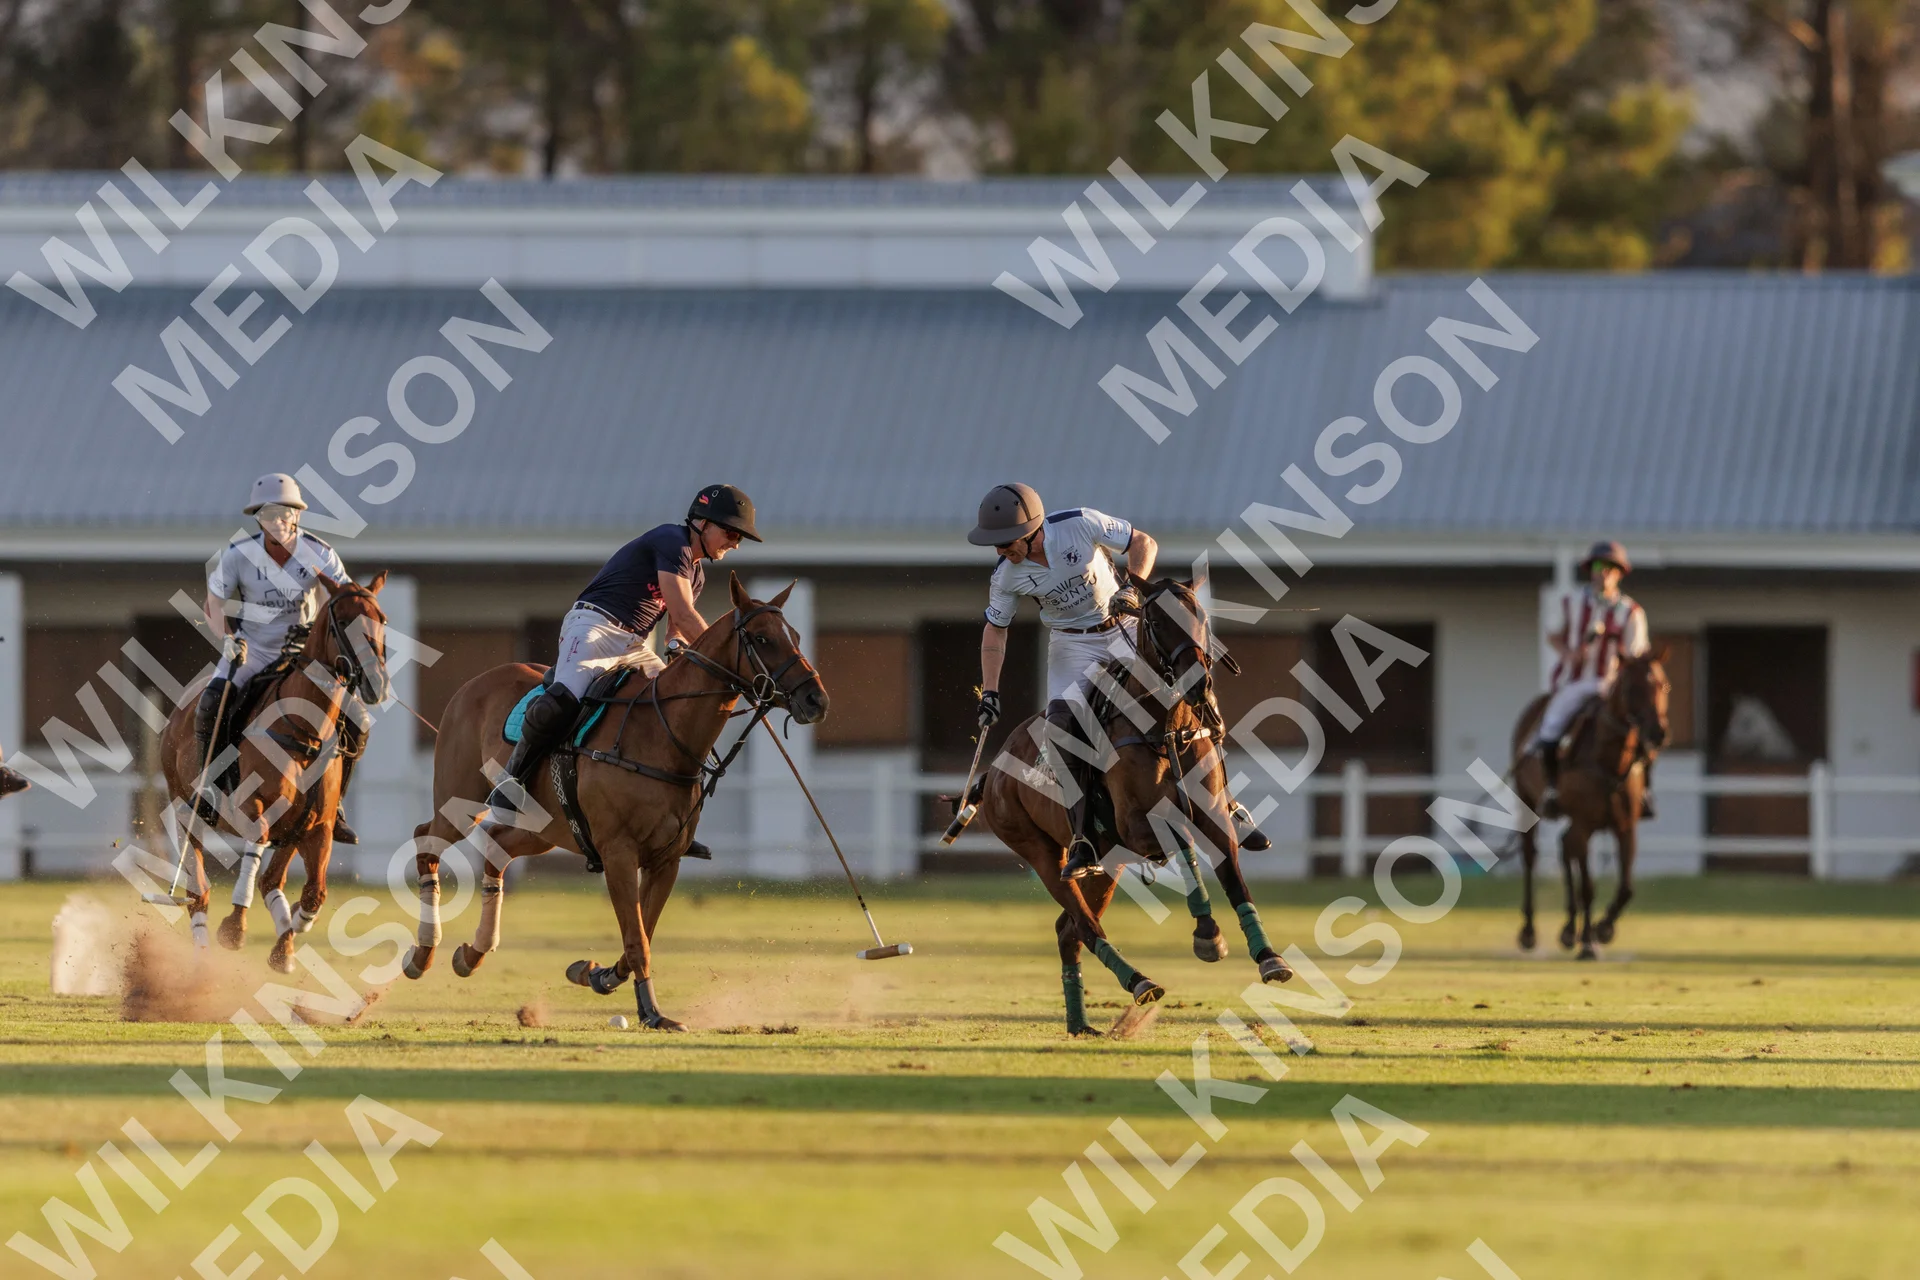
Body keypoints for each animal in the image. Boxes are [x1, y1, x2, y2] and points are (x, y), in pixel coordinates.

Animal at [158, 572, 391, 972]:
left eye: (382, 620)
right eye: (344, 621)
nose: (375, 683)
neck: (306, 731)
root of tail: (175, 717)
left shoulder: (318, 827)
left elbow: (314, 893)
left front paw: (288, 938)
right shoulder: (254, 806)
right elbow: (256, 845)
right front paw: (235, 928)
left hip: (293, 831)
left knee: (271, 881)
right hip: (186, 809)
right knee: (198, 891)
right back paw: (203, 960)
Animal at [402, 574, 828, 1031]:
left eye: (796, 636)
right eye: (763, 638)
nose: (817, 701)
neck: (662, 737)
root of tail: (473, 684)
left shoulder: (666, 858)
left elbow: (641, 932)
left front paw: (595, 974)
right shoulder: (619, 852)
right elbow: (637, 937)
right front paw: (652, 1013)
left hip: (546, 829)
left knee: (497, 844)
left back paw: (472, 954)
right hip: (461, 800)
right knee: (426, 839)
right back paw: (422, 955)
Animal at [976, 577, 1294, 1037]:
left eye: (1201, 617)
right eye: (1157, 622)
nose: (1200, 685)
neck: (1168, 727)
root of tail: (993, 771)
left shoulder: (1213, 816)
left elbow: (1233, 874)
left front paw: (1269, 958)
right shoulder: (1135, 825)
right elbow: (1182, 841)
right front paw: (1207, 934)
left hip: (1108, 863)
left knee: (1067, 930)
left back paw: (1081, 1024)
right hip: (1042, 852)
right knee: (1084, 924)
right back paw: (1140, 981)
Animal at [1509, 649, 1670, 959]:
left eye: (1662, 685)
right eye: (1632, 688)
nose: (1658, 733)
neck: (1609, 761)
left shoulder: (1624, 827)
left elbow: (1626, 888)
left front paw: (1603, 929)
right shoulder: (1584, 825)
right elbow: (1588, 886)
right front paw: (1588, 941)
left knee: (1564, 846)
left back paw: (1568, 930)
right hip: (1527, 801)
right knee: (1531, 855)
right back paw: (1530, 931)